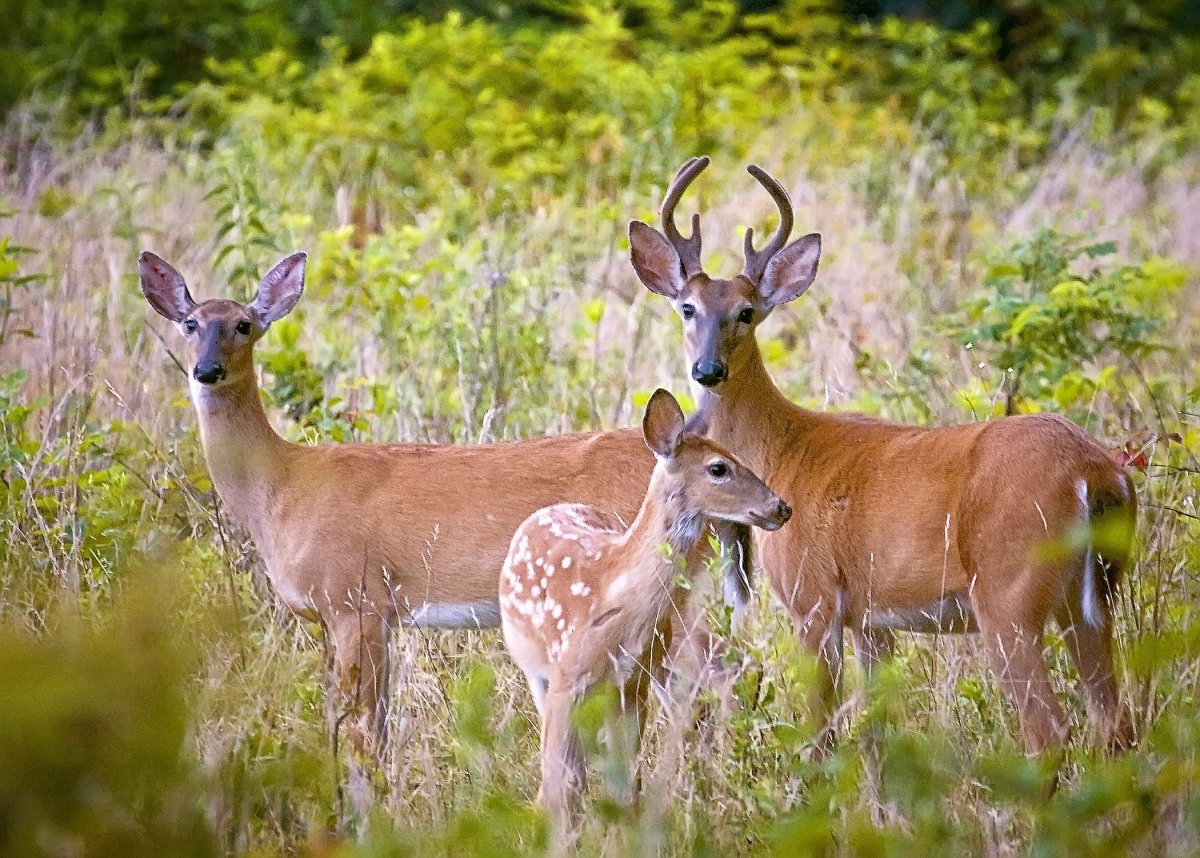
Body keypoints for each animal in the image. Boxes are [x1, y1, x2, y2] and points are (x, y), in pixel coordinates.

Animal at [137, 250, 750, 784]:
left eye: (244, 325)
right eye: (191, 323)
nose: (207, 369)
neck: (283, 488)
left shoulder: (355, 600)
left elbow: (363, 738)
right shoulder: (370, 616)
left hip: (667, 592)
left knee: (712, 678)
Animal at [499, 388, 791, 830]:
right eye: (718, 468)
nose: (781, 507)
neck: (612, 598)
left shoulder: (632, 685)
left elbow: (626, 789)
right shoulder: (567, 681)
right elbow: (559, 788)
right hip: (537, 672)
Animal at [626, 156, 1138, 758]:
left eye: (747, 312)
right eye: (687, 308)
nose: (708, 370)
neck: (783, 450)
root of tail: (1093, 473)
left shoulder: (814, 597)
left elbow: (821, 732)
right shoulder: (872, 619)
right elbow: (876, 737)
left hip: (1009, 594)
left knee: (1049, 728)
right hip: (1094, 599)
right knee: (1118, 724)